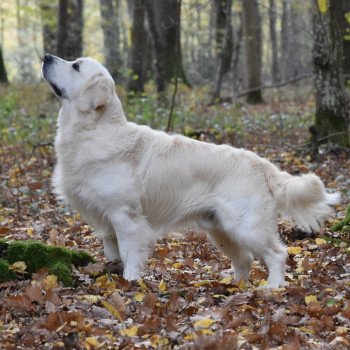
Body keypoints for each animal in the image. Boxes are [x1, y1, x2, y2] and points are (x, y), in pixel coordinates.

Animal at [41, 53, 340, 286]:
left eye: (76, 66)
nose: (45, 57)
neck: (93, 130)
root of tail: (263, 164)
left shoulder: (126, 217)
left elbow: (129, 255)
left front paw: (130, 283)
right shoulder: (107, 223)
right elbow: (112, 255)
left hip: (246, 225)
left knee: (277, 254)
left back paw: (273, 287)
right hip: (220, 230)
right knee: (245, 259)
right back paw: (236, 287)